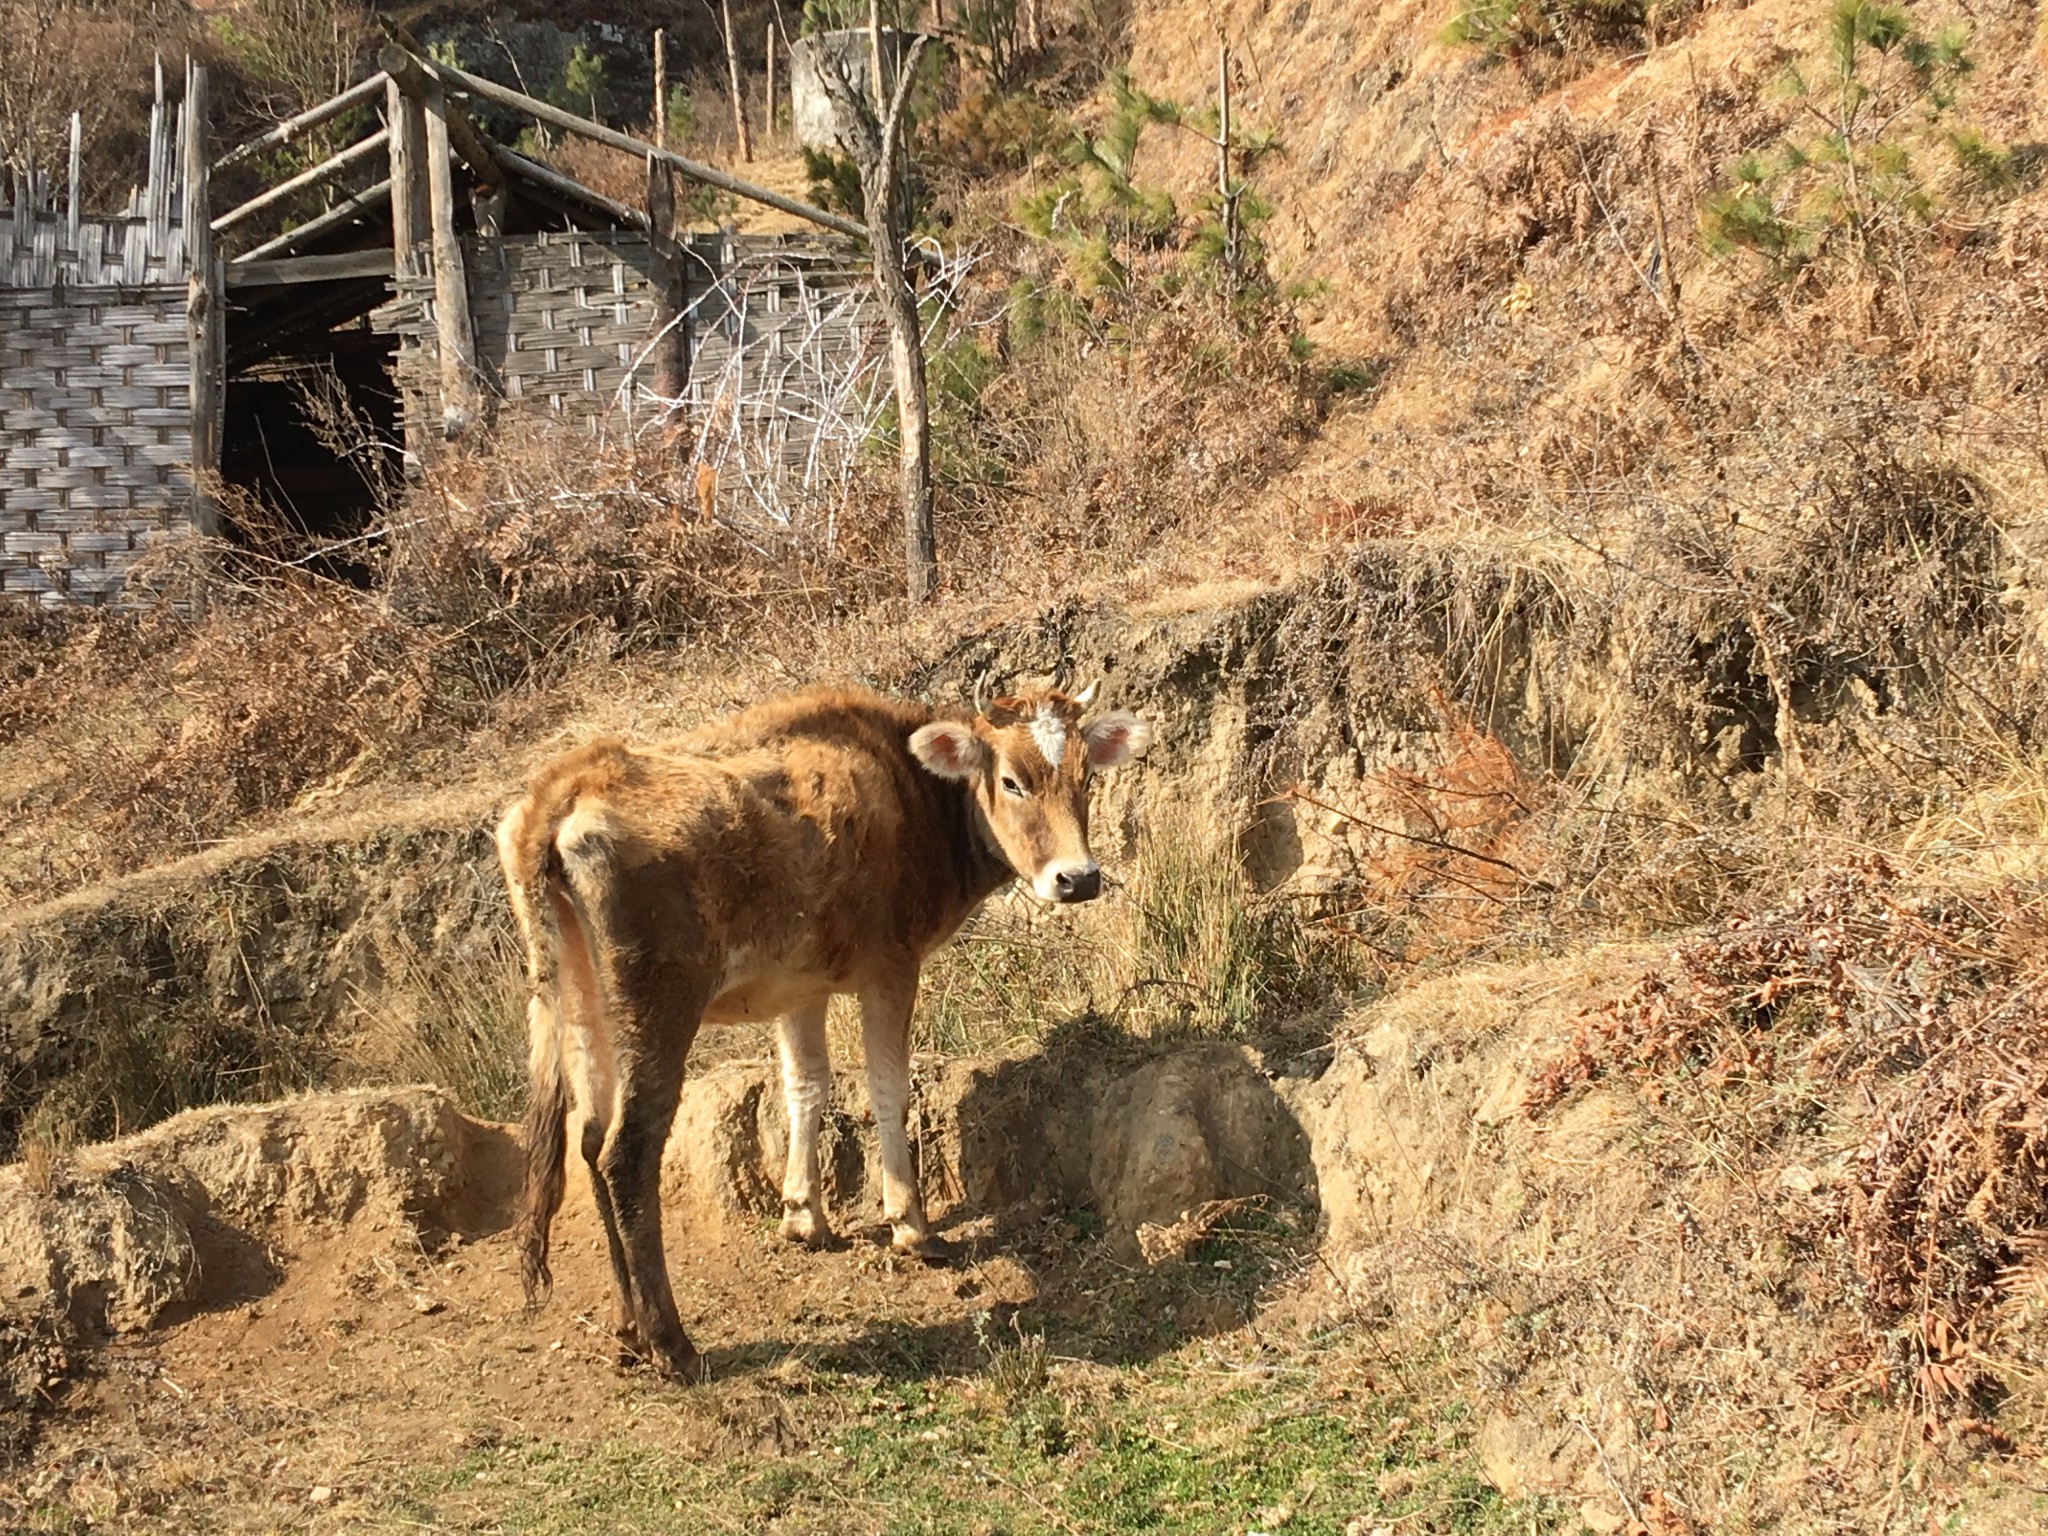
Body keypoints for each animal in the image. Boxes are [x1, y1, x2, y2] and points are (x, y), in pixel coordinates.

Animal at [499, 684, 1155, 1384]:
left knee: (590, 1139)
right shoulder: (892, 965)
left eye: (1086, 777)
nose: (1079, 878)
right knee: (627, 1152)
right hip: (656, 1002)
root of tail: (571, 778)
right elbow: (887, 1088)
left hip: (579, 998)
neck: (914, 790)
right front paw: (911, 1226)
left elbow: (806, 1086)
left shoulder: (801, 984)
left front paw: (803, 1217)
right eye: (1011, 781)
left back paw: (627, 1329)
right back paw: (671, 1343)